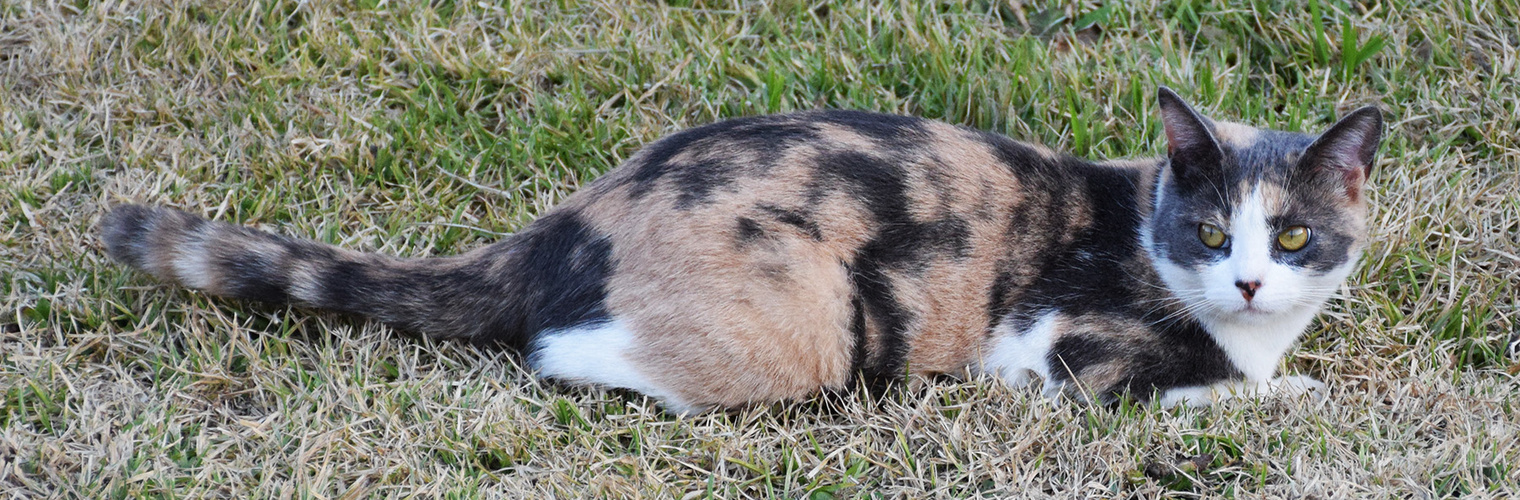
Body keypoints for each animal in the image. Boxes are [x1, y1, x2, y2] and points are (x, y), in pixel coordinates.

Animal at [98, 87, 1380, 410]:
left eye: (1294, 232)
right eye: (1208, 230)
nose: (1247, 276)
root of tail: (581, 208)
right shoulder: (1064, 351)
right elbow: (1220, 383)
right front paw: (1297, 388)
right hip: (815, 324)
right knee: (563, 349)